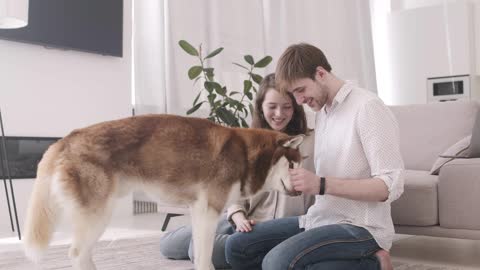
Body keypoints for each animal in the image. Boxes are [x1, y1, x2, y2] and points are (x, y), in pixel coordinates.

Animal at [22, 114, 304, 270]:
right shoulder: (209, 211)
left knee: (82, 253)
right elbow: (204, 257)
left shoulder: (199, 211)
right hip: (97, 214)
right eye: (293, 165)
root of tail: (65, 140)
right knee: (77, 253)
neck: (246, 154)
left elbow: (201, 255)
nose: (301, 191)